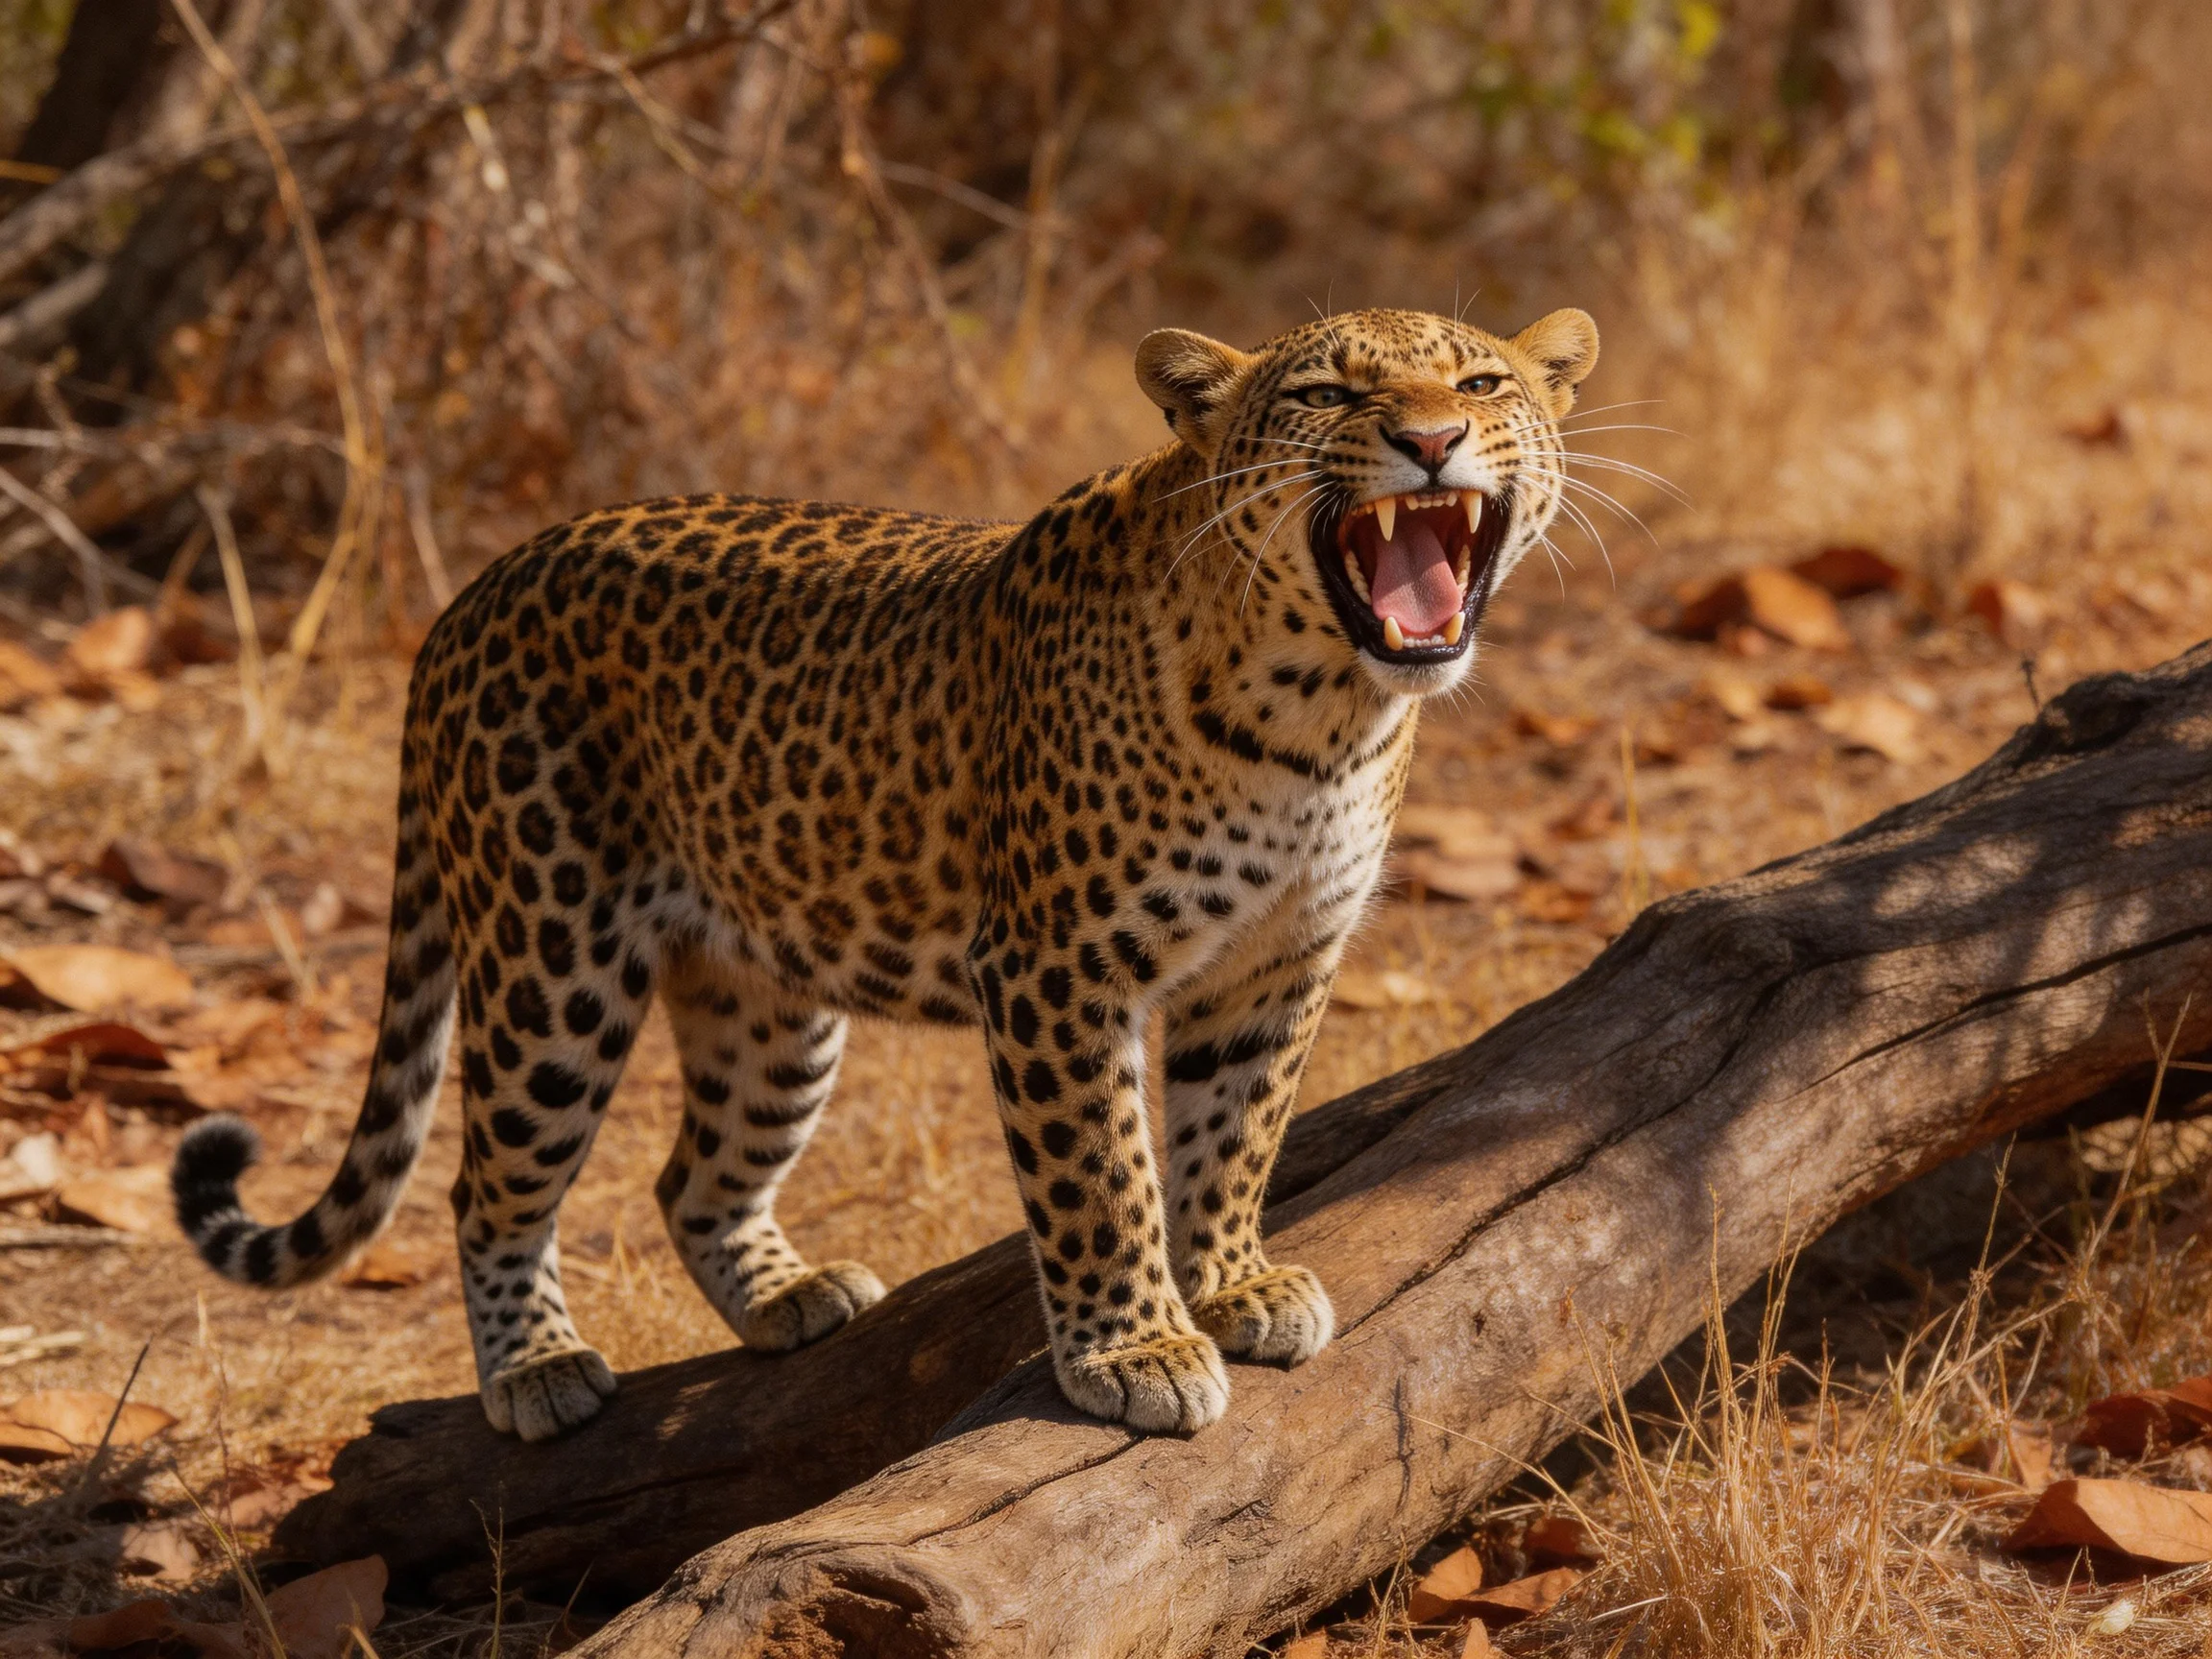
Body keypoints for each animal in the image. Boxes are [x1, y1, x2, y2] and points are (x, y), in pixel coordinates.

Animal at [171, 304, 1599, 1441]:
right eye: (1328, 396)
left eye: (1480, 384)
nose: (1431, 441)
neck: (1323, 717)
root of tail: (471, 596)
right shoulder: (1057, 972)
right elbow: (1101, 1176)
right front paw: (1134, 1349)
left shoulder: (1274, 965)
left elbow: (1235, 1136)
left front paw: (1235, 1280)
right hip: (549, 962)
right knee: (490, 1182)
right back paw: (537, 1369)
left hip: (768, 1002)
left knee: (693, 1176)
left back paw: (790, 1299)